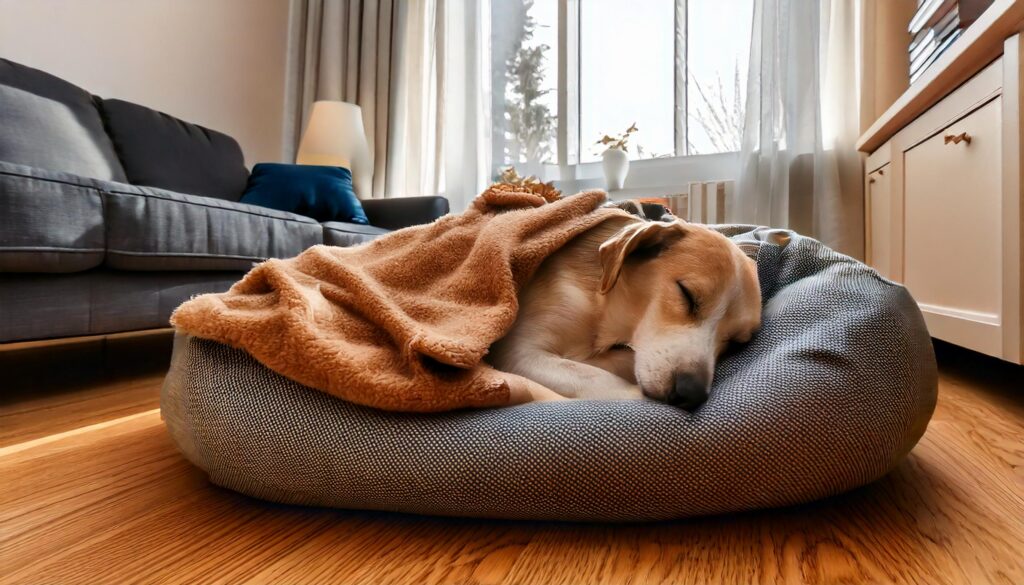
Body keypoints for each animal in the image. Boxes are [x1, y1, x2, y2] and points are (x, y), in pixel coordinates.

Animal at [491, 202, 765, 411]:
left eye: (735, 342)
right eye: (686, 294)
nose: (691, 394)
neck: (601, 305)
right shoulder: (522, 353)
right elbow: (597, 377)